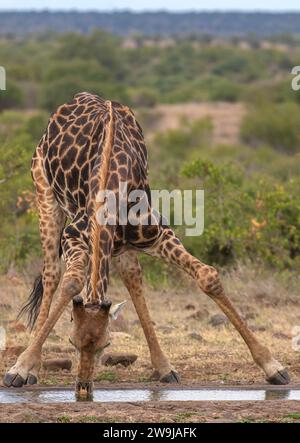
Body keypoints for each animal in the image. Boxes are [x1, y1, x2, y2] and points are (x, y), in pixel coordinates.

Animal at [2, 92, 288, 398]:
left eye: (106, 345)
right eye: (71, 342)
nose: (83, 389)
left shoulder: (157, 233)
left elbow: (207, 276)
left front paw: (273, 366)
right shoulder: (73, 236)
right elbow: (71, 282)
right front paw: (20, 369)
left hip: (120, 245)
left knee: (132, 277)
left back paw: (164, 366)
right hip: (43, 191)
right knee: (52, 274)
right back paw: (31, 368)